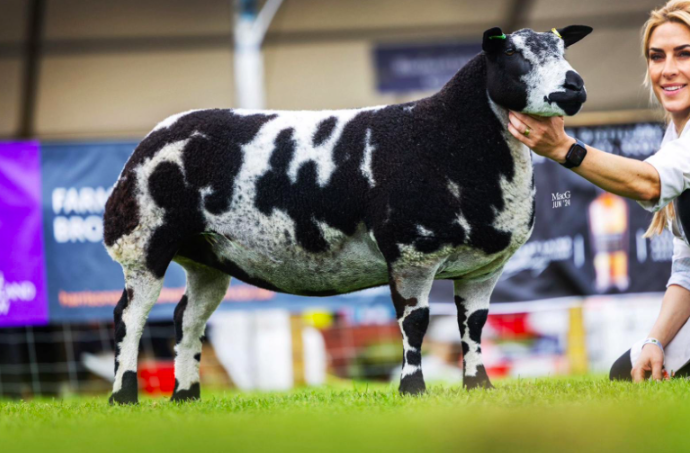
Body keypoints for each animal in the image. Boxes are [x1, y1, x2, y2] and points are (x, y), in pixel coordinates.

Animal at [102, 24, 592, 402]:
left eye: (563, 50)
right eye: (512, 53)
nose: (574, 86)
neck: (447, 136)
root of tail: (154, 136)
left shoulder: (483, 268)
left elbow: (473, 325)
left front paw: (480, 387)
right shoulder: (411, 252)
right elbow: (415, 323)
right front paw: (412, 390)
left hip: (206, 258)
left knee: (187, 318)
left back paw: (185, 396)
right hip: (143, 241)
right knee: (130, 316)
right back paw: (123, 396)